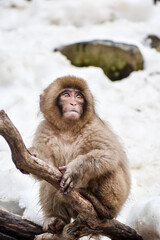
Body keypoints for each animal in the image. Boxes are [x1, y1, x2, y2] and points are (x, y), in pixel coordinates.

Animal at [30, 76, 131, 238]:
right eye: (66, 95)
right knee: (48, 181)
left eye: (78, 96)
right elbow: (44, 169)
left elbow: (109, 154)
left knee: (109, 169)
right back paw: (56, 219)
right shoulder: (44, 129)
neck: (68, 129)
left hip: (117, 200)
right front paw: (35, 154)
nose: (73, 103)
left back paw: (103, 208)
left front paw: (75, 170)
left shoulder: (93, 127)